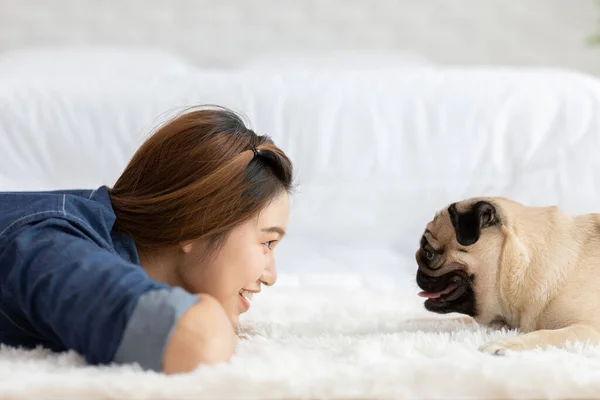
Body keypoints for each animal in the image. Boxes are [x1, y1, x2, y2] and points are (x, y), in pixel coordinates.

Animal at [414, 197, 600, 354]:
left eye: (429, 254)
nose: (418, 273)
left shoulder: (589, 329)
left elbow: (545, 334)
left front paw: (504, 343)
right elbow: (452, 321)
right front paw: (412, 323)